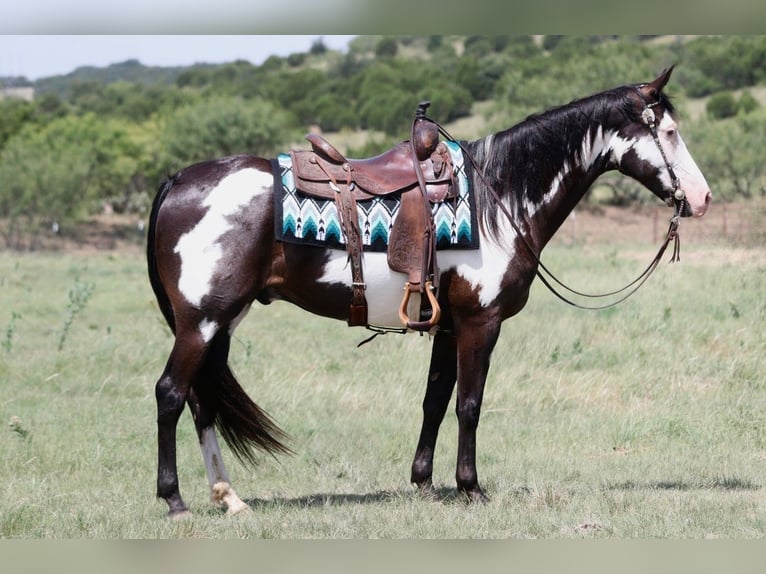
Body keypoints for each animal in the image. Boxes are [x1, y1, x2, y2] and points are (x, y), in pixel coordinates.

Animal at [146, 67, 711, 517]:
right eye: (669, 131)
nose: (702, 197)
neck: (499, 197)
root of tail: (179, 180)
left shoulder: (448, 325)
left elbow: (434, 401)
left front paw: (422, 482)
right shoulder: (480, 323)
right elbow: (469, 404)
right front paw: (471, 487)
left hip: (221, 322)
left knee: (201, 401)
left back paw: (229, 497)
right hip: (201, 321)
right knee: (171, 394)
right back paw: (174, 500)